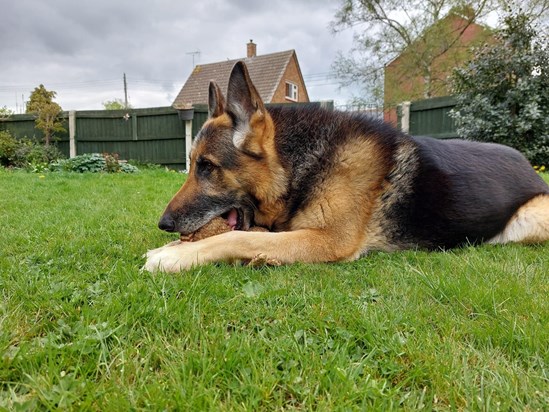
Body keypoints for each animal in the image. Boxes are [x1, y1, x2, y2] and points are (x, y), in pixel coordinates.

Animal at [144, 62, 548, 274]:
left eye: (206, 167)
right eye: (192, 165)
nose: (164, 224)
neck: (300, 166)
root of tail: (530, 167)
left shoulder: (326, 240)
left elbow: (240, 237)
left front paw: (174, 255)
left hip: (532, 219)